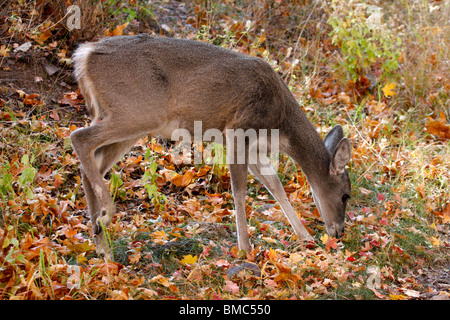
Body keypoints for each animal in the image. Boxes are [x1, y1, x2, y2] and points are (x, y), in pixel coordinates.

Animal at [70, 35, 352, 260]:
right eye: (345, 196)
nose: (339, 232)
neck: (281, 124)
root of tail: (84, 54)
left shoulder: (255, 147)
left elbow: (276, 186)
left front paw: (305, 236)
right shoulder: (238, 129)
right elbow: (239, 190)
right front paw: (245, 248)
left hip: (131, 120)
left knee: (91, 163)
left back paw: (102, 246)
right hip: (138, 111)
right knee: (79, 138)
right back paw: (106, 216)